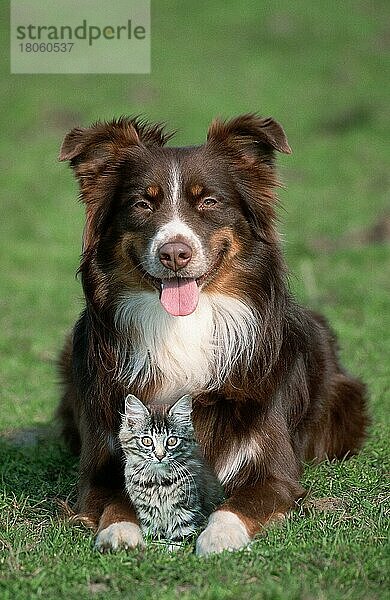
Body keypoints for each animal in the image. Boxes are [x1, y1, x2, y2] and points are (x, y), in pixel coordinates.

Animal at [118, 396, 222, 548]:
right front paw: (156, 546)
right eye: (147, 441)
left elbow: (181, 533)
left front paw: (173, 549)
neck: (159, 481)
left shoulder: (186, 507)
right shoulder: (147, 511)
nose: (160, 456)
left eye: (172, 441)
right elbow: (153, 532)